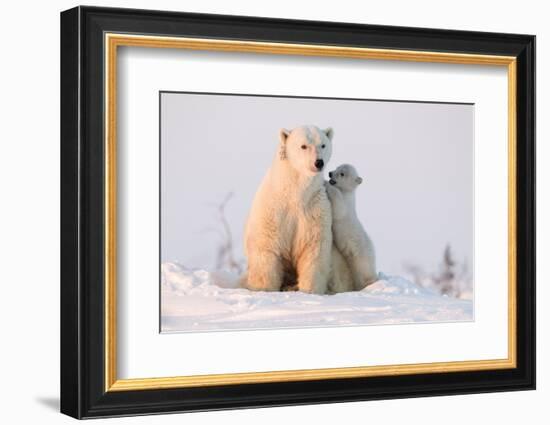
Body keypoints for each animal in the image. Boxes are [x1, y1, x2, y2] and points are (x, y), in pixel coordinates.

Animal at [245, 124, 336, 294]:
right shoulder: (273, 211)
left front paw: (309, 290)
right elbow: (266, 249)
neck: (294, 193)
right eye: (303, 146)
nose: (318, 162)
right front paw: (263, 289)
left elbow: (313, 250)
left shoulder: (314, 209)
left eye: (323, 145)